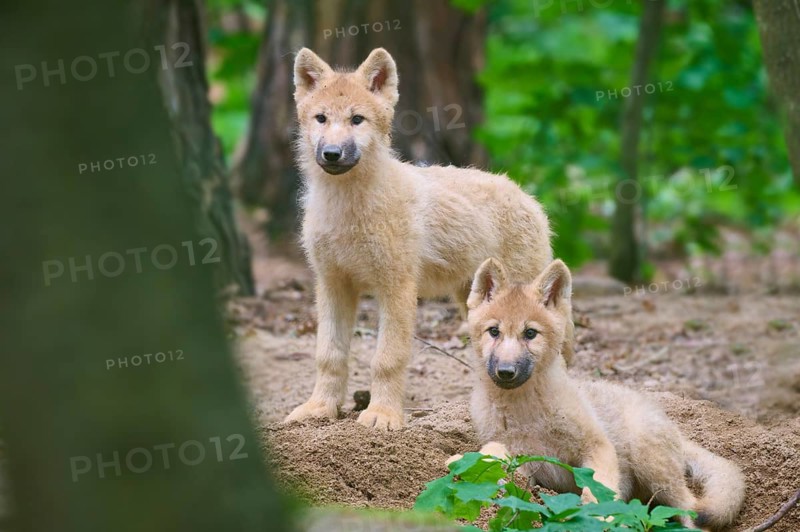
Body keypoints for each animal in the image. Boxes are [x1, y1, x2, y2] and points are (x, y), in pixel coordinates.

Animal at [284, 47, 574, 430]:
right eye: (321, 118)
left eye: (357, 120)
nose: (331, 153)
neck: (348, 208)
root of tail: (527, 196)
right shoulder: (332, 285)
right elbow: (328, 355)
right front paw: (319, 409)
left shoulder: (397, 289)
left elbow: (387, 359)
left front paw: (381, 416)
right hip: (472, 303)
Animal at [456, 258, 745, 529]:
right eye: (494, 331)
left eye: (530, 333)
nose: (506, 372)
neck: (526, 412)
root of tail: (675, 431)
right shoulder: (525, 462)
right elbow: (492, 460)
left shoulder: (597, 446)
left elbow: (597, 494)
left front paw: (601, 519)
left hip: (652, 464)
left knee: (692, 511)